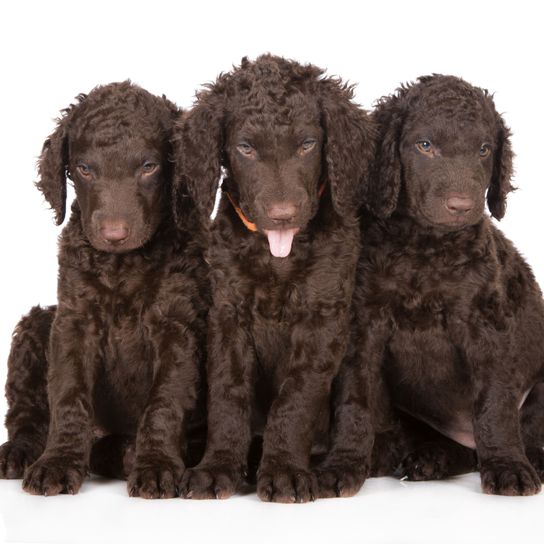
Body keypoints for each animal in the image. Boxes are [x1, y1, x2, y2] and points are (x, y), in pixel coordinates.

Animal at [0, 82, 208, 498]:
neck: (121, 266)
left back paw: (123, 453)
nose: (114, 234)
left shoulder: (176, 325)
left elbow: (165, 400)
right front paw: (58, 462)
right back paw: (20, 450)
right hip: (38, 323)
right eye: (84, 169)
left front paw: (156, 465)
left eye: (148, 166)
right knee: (26, 412)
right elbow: (68, 394)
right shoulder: (74, 319)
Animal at [176, 54, 376, 502]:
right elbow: (228, 395)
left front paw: (284, 470)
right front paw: (217, 467)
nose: (283, 214)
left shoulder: (323, 315)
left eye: (307, 144)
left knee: (356, 411)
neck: (277, 255)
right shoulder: (228, 314)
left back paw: (340, 468)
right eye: (246, 148)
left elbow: (295, 398)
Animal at [332, 75, 544, 498]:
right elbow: (354, 398)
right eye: (425, 145)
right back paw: (429, 459)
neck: (425, 250)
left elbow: (495, 404)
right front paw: (343, 464)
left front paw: (508, 467)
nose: (461, 206)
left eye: (484, 149)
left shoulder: (487, 326)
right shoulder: (364, 323)